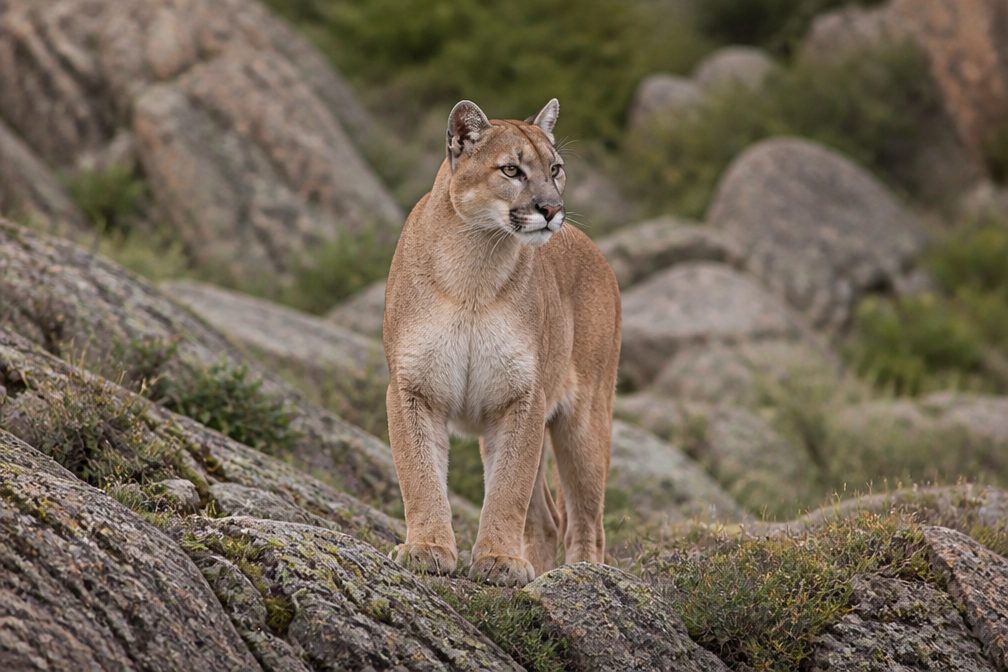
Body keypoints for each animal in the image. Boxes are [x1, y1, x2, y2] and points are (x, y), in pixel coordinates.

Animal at [382, 98, 620, 586]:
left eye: (555, 168)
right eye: (512, 170)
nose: (552, 209)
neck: (475, 266)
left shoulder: (521, 397)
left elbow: (509, 487)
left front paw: (497, 558)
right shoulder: (412, 389)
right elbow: (420, 474)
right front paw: (427, 548)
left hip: (586, 422)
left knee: (586, 520)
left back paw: (581, 574)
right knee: (547, 520)